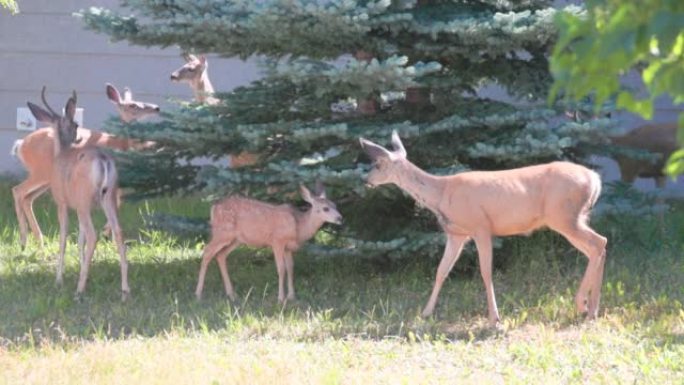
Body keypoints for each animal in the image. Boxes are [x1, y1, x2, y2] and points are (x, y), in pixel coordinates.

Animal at [11, 82, 159, 248]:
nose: (156, 108)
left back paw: (37, 240)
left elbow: (118, 202)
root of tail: (21, 145)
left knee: (27, 197)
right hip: (40, 173)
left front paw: (107, 235)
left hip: (47, 179)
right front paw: (106, 234)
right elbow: (118, 202)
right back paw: (25, 240)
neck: (121, 145)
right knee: (18, 191)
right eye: (133, 105)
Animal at [25, 88, 130, 298]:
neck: (61, 153)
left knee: (93, 235)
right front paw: (83, 269)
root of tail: (103, 160)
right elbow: (79, 240)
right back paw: (125, 289)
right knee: (118, 232)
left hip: (84, 200)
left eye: (76, 123)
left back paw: (79, 290)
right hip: (108, 197)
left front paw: (59, 279)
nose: (78, 137)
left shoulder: (62, 202)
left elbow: (64, 238)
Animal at [194, 182, 342, 304]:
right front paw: (281, 298)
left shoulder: (288, 248)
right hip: (222, 232)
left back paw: (231, 294)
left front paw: (292, 296)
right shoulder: (277, 241)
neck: (298, 226)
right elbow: (281, 268)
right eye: (325, 208)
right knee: (207, 252)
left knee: (221, 255)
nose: (340, 218)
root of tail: (213, 207)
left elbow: (291, 267)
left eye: (335, 205)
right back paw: (198, 294)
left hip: (235, 239)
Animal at [358, 131, 608, 324]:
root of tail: (595, 179)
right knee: (599, 245)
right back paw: (592, 309)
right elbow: (441, 271)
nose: (366, 181)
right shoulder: (456, 234)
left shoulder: (481, 227)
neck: (442, 193)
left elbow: (485, 272)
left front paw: (494, 319)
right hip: (573, 218)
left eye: (378, 164)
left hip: (564, 216)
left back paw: (583, 305)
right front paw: (425, 313)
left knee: (597, 244)